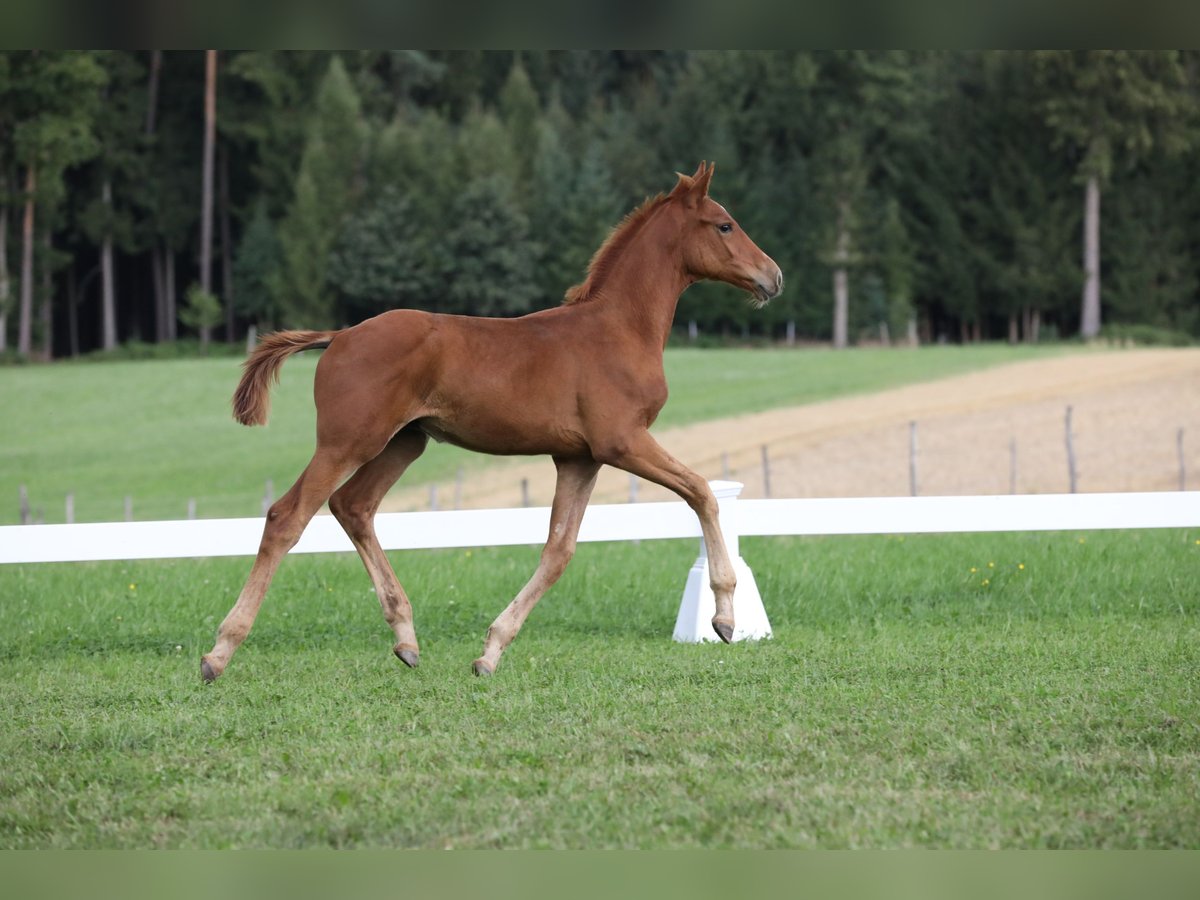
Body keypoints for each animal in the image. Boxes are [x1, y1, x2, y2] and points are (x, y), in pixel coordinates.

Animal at [201, 164, 782, 681]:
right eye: (724, 224)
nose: (773, 276)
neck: (618, 329)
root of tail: (339, 335)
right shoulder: (622, 442)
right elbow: (702, 491)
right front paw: (725, 617)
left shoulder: (579, 457)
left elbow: (559, 551)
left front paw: (490, 653)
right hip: (347, 442)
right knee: (288, 516)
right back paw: (219, 653)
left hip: (403, 444)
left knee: (353, 506)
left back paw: (406, 640)